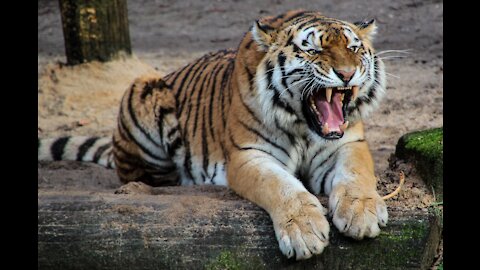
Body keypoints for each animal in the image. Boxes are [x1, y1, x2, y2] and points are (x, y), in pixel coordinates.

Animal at [39, 9, 388, 260]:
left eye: (353, 48)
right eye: (313, 50)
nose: (347, 74)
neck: (303, 126)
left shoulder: (348, 144)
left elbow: (356, 174)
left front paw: (362, 213)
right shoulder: (249, 155)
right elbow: (281, 187)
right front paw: (304, 231)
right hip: (142, 88)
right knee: (141, 177)